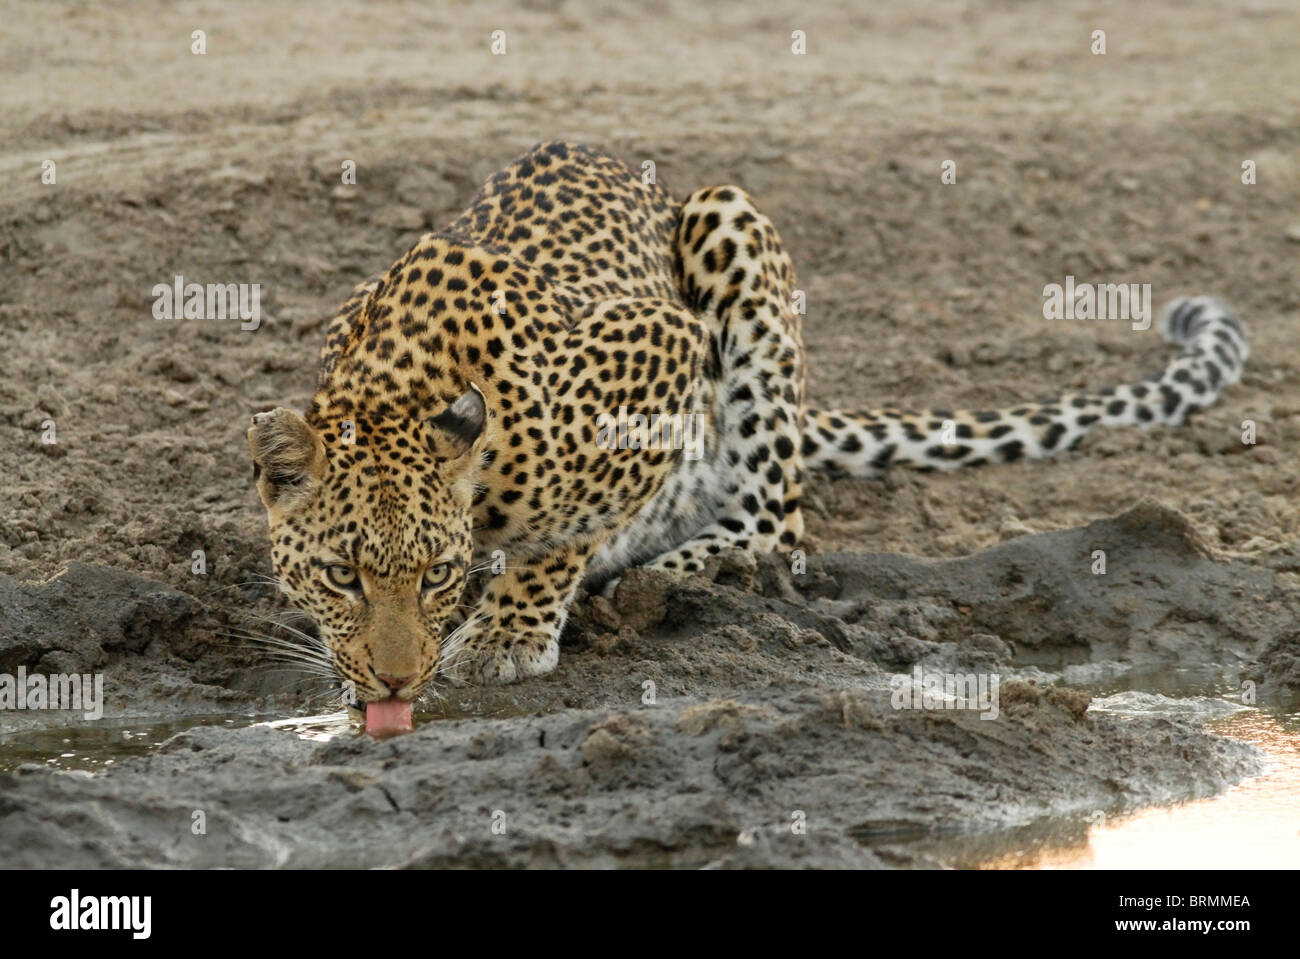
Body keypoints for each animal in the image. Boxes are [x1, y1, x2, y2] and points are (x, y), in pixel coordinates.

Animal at [244, 138, 1248, 727]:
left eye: (436, 572)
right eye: (342, 575)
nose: (395, 685)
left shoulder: (658, 352)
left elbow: (565, 531)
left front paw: (505, 631)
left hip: (730, 226)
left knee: (776, 522)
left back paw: (665, 572)